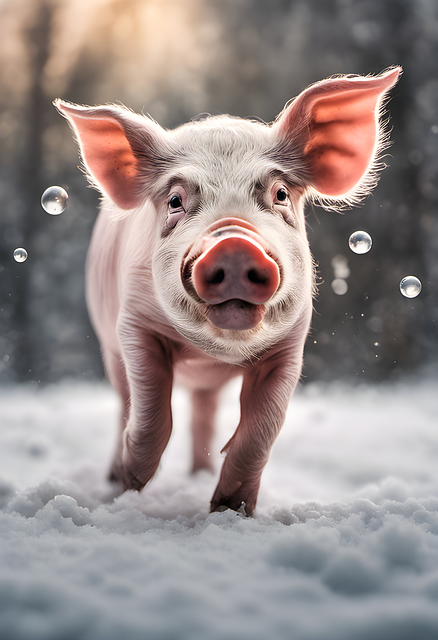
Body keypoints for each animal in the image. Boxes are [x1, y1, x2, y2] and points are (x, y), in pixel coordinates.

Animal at [55, 67, 401, 516]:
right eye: (175, 200)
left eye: (280, 194)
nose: (234, 243)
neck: (213, 351)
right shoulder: (133, 325)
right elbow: (150, 418)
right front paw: (126, 491)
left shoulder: (289, 345)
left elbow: (260, 432)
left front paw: (228, 511)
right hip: (110, 351)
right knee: (126, 405)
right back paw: (117, 480)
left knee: (204, 414)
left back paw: (199, 477)